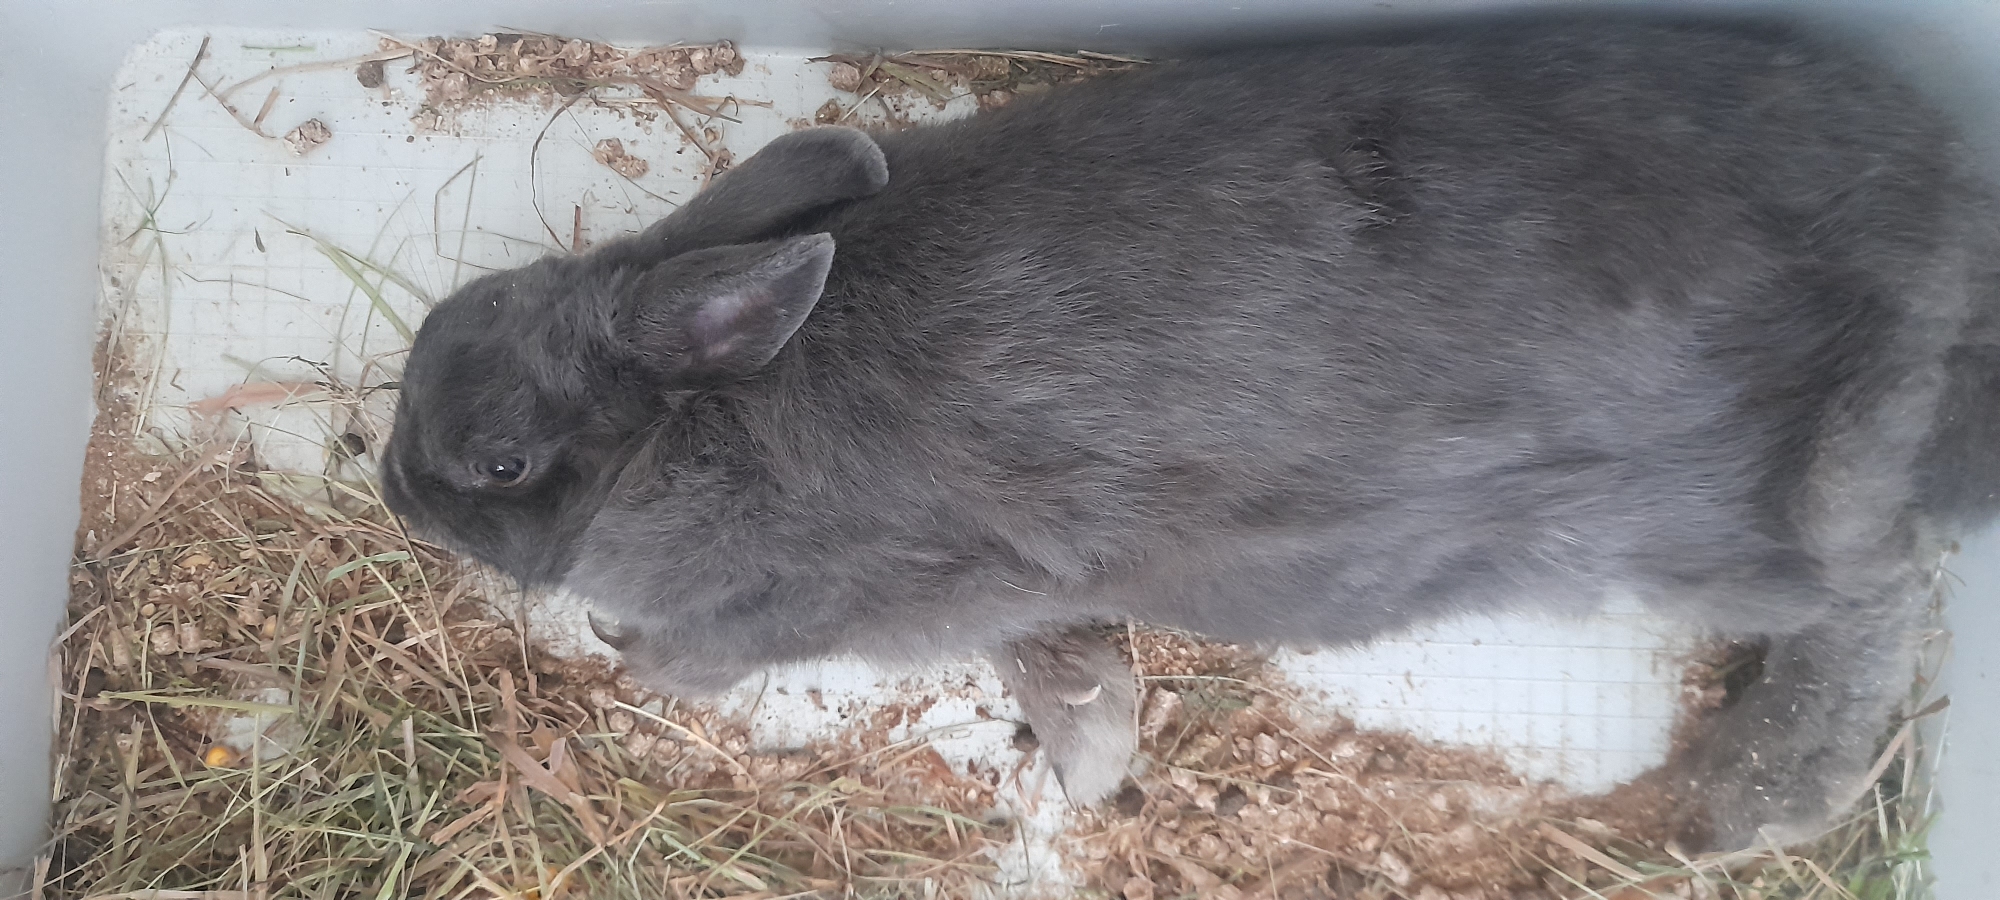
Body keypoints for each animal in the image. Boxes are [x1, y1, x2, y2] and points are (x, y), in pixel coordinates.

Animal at [382, 18, 2000, 853]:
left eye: (498, 464)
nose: (394, 488)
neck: (691, 424)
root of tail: (1938, 212)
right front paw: (1101, 754)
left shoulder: (894, 589)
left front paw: (631, 652)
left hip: (1719, 515)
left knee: (1879, 593)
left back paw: (1756, 801)